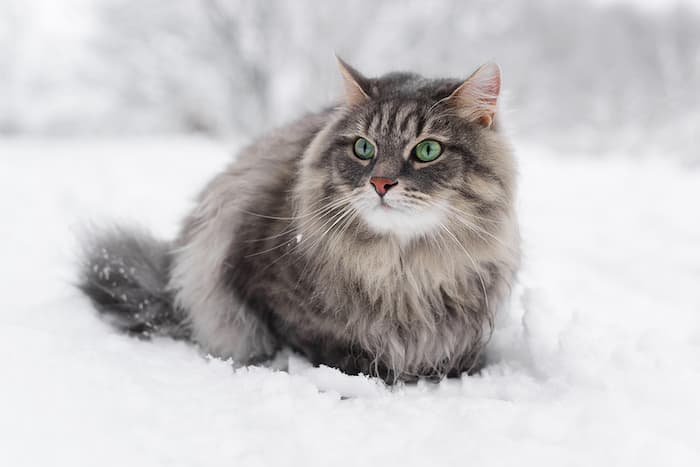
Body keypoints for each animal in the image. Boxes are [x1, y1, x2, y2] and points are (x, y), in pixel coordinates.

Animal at [80, 57, 520, 384]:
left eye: (428, 150)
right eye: (364, 148)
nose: (380, 183)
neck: (401, 270)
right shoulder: (259, 282)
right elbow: (313, 338)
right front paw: (364, 371)